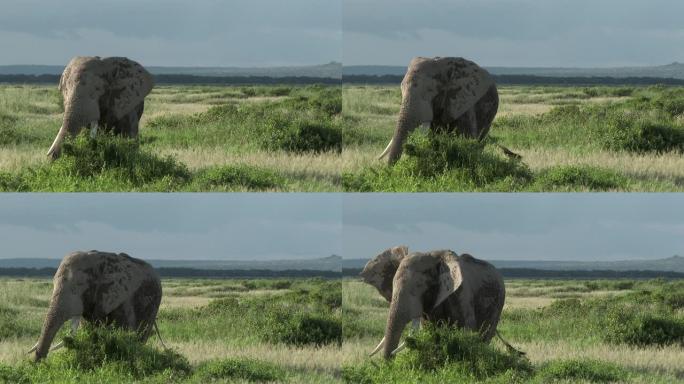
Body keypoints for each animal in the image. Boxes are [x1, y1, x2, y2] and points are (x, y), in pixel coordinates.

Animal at [360, 246, 516, 360]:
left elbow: (467, 331)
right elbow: (430, 331)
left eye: (419, 287)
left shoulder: (461, 294)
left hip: (498, 304)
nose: (390, 359)